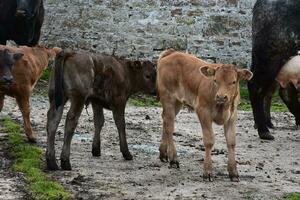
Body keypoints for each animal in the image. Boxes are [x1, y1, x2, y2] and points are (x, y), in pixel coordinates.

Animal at [157, 49, 253, 181]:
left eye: (233, 82)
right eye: (215, 80)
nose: (221, 97)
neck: (222, 106)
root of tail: (172, 53)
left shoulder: (232, 115)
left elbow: (231, 141)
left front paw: (233, 172)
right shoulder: (203, 112)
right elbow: (209, 140)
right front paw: (207, 171)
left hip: (177, 102)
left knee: (165, 120)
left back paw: (163, 152)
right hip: (168, 97)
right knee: (170, 127)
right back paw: (174, 158)